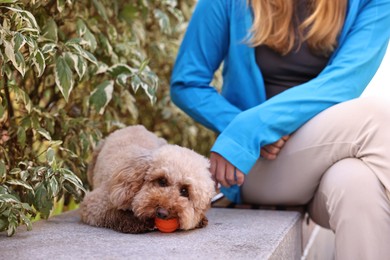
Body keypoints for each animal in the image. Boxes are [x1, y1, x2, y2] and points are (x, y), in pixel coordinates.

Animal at [79, 125, 216, 233]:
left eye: (184, 191)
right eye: (162, 181)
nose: (162, 213)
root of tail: (136, 126)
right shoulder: (94, 203)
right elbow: (113, 211)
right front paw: (134, 221)